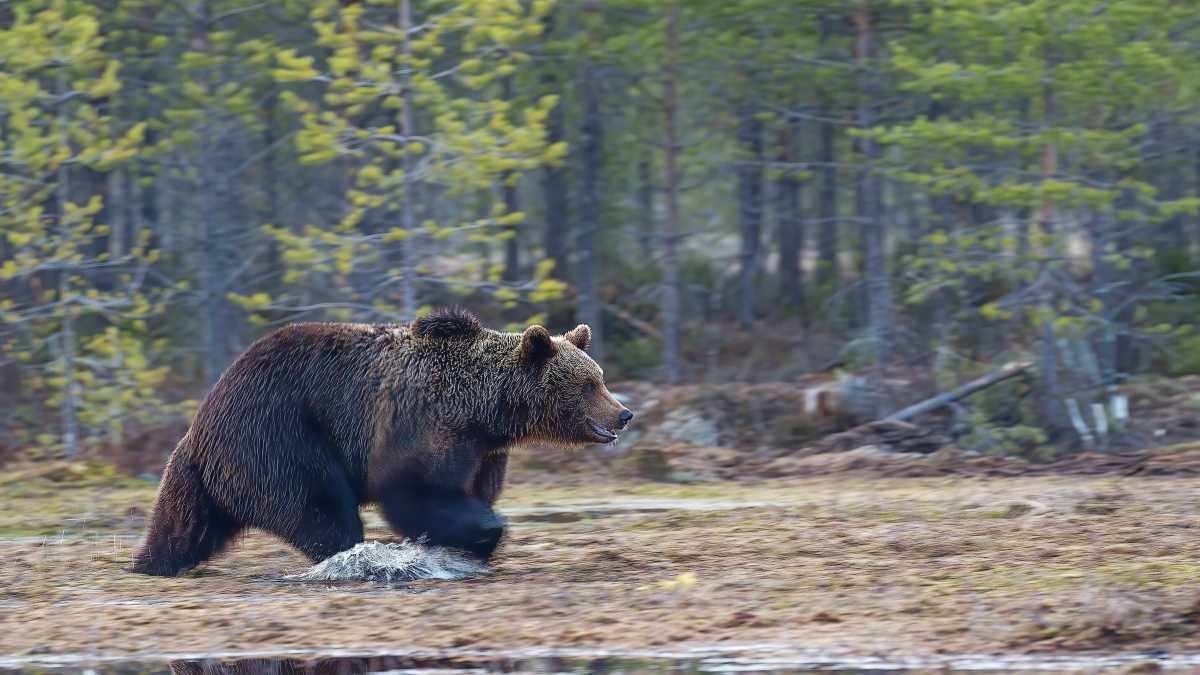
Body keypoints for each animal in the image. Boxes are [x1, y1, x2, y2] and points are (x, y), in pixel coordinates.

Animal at [130, 308, 633, 576]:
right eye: (589, 384)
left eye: (600, 377)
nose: (624, 413)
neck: (487, 410)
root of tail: (203, 419)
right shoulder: (422, 419)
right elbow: (413, 488)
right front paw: (479, 532)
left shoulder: (484, 449)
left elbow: (471, 488)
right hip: (278, 436)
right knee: (319, 505)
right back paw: (352, 555)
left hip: (210, 472)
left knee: (184, 524)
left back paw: (151, 561)